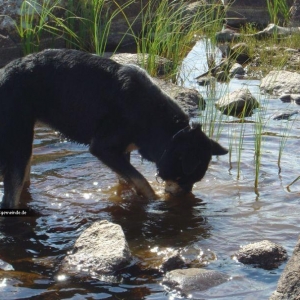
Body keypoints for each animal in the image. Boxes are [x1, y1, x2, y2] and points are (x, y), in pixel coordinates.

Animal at [0, 49, 227, 209]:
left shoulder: (122, 152)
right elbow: (141, 179)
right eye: (185, 178)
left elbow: (128, 179)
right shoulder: (103, 148)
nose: (183, 199)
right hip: (18, 146)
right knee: (10, 198)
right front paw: (154, 200)